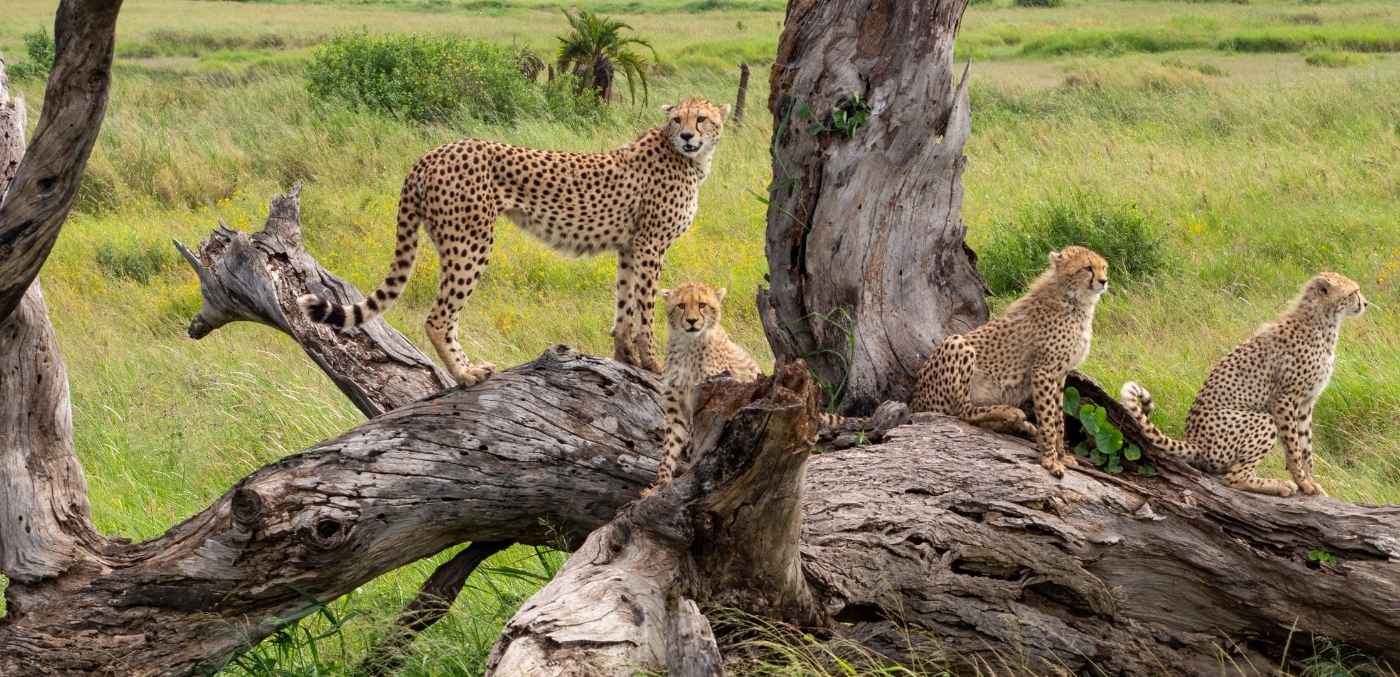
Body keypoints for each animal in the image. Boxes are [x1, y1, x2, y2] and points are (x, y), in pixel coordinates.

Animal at [297, 97, 731, 385]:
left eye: (702, 118)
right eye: (677, 119)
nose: (688, 135)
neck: (687, 158)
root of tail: (433, 152)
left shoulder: (629, 247)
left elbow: (624, 308)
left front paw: (625, 360)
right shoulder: (650, 246)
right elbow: (644, 310)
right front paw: (653, 365)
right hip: (470, 241)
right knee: (439, 317)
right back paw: (466, 373)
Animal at [910, 245, 1110, 478]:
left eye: (1103, 267)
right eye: (1087, 268)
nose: (1104, 281)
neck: (1074, 300)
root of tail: (915, 401)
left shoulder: (1060, 374)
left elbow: (1058, 418)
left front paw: (1062, 455)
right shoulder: (1044, 371)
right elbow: (1048, 418)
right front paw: (1050, 460)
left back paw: (1019, 424)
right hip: (958, 342)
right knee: (962, 410)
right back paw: (1010, 413)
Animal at [1120, 272, 1367, 497]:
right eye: (1353, 292)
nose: (1364, 303)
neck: (1323, 322)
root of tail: (1194, 441)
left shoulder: (1306, 403)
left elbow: (1306, 446)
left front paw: (1311, 481)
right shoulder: (1284, 400)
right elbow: (1294, 447)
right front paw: (1302, 482)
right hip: (1263, 420)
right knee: (1234, 478)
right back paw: (1279, 485)